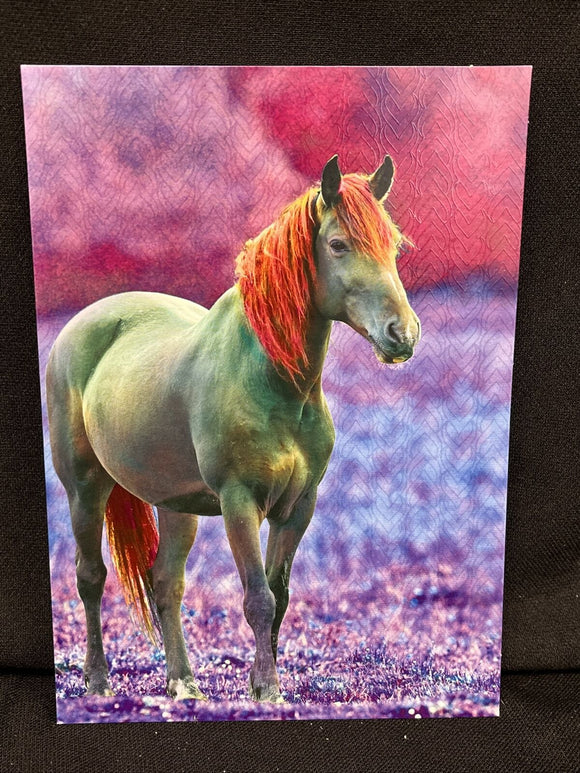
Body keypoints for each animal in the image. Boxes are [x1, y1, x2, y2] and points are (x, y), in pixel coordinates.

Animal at [47, 154, 420, 702]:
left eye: (392, 246)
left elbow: (278, 596)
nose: (403, 335)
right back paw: (97, 681)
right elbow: (257, 598)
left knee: (165, 583)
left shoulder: (298, 507)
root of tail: (82, 324)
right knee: (90, 577)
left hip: (175, 504)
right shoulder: (239, 501)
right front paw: (267, 689)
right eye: (338, 244)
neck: (278, 385)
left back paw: (183, 684)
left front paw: (261, 682)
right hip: (85, 488)